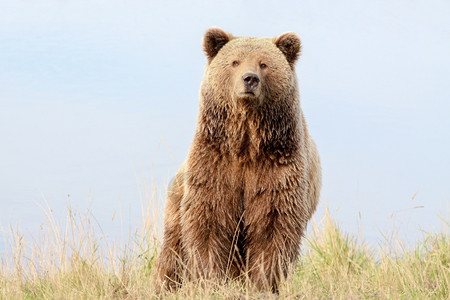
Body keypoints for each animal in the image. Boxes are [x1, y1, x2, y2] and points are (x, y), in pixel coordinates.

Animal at [154, 27, 320, 290]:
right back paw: (167, 284)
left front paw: (264, 282)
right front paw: (209, 279)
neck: (246, 144)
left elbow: (273, 226)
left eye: (264, 64)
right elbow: (209, 220)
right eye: (235, 62)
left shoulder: (278, 166)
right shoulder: (215, 162)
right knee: (173, 249)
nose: (249, 79)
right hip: (177, 200)